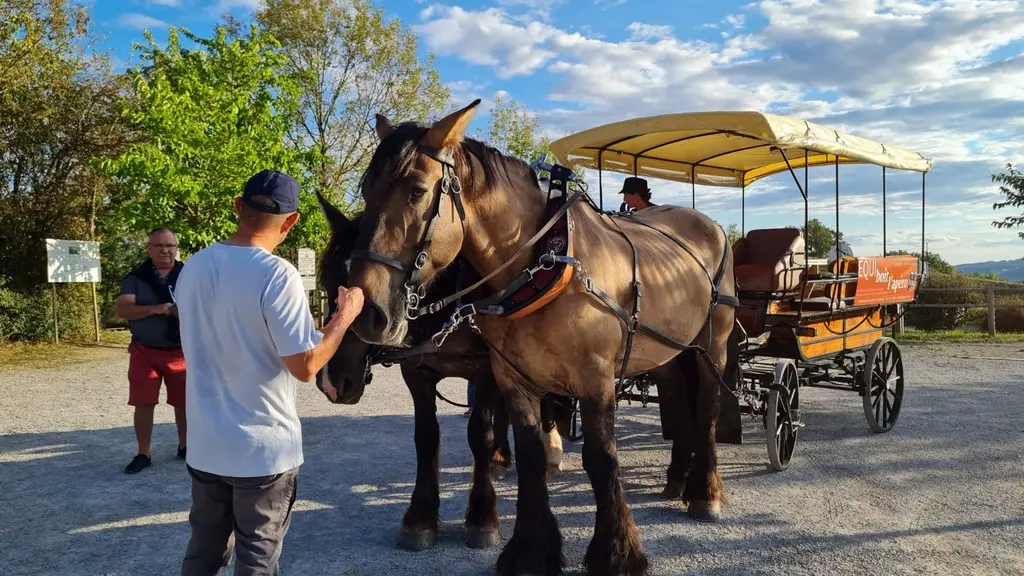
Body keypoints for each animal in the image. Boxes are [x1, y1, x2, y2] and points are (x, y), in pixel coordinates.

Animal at [307, 194, 573, 549]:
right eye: (328, 283)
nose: (331, 382)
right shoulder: (416, 373)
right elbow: (426, 436)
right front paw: (420, 517)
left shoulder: (486, 369)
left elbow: (479, 434)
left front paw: (482, 516)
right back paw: (501, 457)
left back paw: (550, 450)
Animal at [348, 100, 741, 569]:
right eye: (367, 190)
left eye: (416, 191)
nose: (366, 310)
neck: (542, 264)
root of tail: (709, 223)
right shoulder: (512, 378)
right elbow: (531, 456)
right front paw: (531, 550)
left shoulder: (595, 378)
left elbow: (601, 458)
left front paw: (618, 553)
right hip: (665, 350)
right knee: (679, 402)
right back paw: (678, 478)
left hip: (711, 346)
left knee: (708, 411)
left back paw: (706, 492)